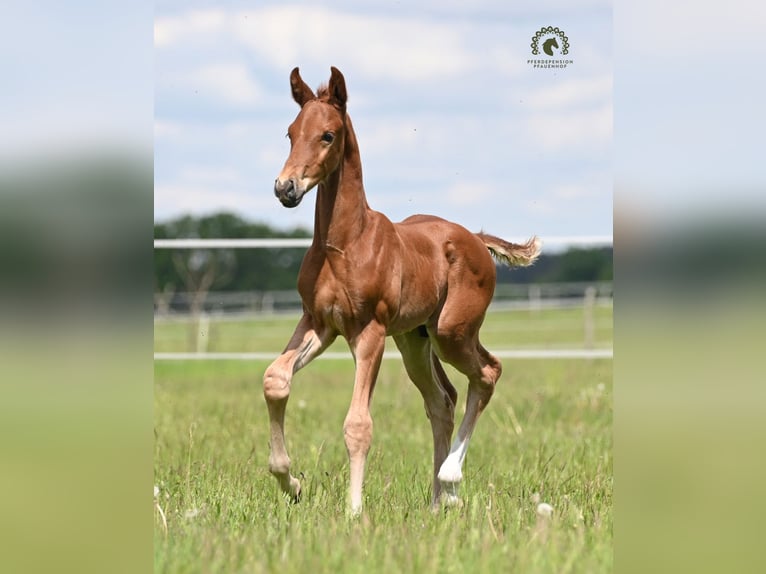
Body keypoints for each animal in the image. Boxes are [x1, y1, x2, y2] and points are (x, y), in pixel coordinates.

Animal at [264, 66, 541, 515]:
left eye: (328, 135)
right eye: (290, 133)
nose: (285, 188)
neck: (345, 243)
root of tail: (476, 238)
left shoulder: (370, 332)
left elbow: (358, 424)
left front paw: (354, 511)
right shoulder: (320, 324)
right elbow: (275, 379)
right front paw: (292, 484)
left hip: (451, 332)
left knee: (487, 373)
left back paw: (450, 480)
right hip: (415, 339)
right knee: (442, 400)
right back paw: (437, 503)